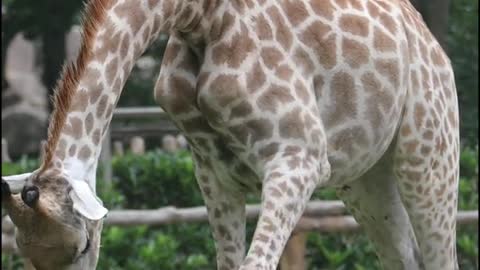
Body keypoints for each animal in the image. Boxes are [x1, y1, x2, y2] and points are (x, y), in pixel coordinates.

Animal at [2, 0, 462, 268]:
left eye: (82, 246)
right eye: (25, 252)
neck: (196, 15)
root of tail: (430, 42)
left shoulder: (299, 157)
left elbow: (256, 263)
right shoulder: (213, 173)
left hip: (429, 154)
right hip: (365, 178)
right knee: (402, 253)